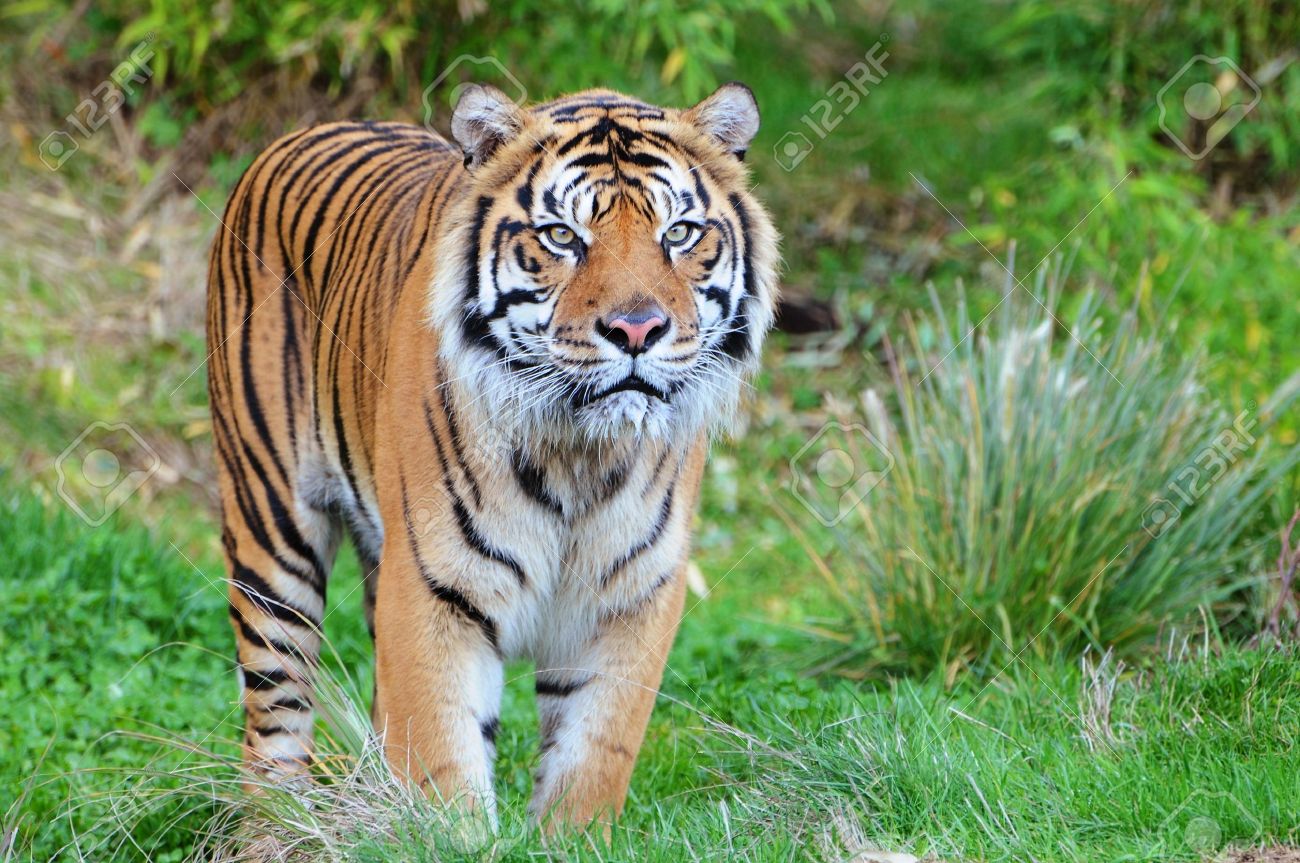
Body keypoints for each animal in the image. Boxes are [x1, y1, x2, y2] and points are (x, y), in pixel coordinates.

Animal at [205, 81, 779, 831]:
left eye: (678, 234)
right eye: (562, 236)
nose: (637, 329)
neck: (579, 453)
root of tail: (302, 133)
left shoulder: (631, 596)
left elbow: (592, 757)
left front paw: (568, 838)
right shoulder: (433, 588)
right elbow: (443, 764)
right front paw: (453, 835)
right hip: (271, 528)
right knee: (274, 717)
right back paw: (276, 828)